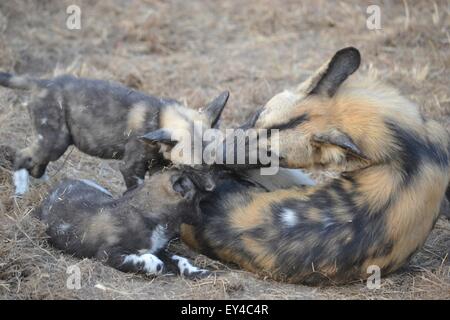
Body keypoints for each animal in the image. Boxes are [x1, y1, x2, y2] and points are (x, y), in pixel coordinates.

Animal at [0, 72, 229, 195]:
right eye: (194, 169)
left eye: (214, 164)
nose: (212, 188)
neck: (157, 119)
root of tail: (42, 83)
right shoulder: (130, 167)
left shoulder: (157, 167)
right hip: (56, 142)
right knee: (22, 156)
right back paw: (21, 192)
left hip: (53, 142)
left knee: (36, 162)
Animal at [36, 165, 215, 278]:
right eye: (198, 202)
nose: (204, 219)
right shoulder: (109, 254)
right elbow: (149, 262)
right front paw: (161, 268)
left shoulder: (159, 249)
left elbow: (181, 259)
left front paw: (196, 271)